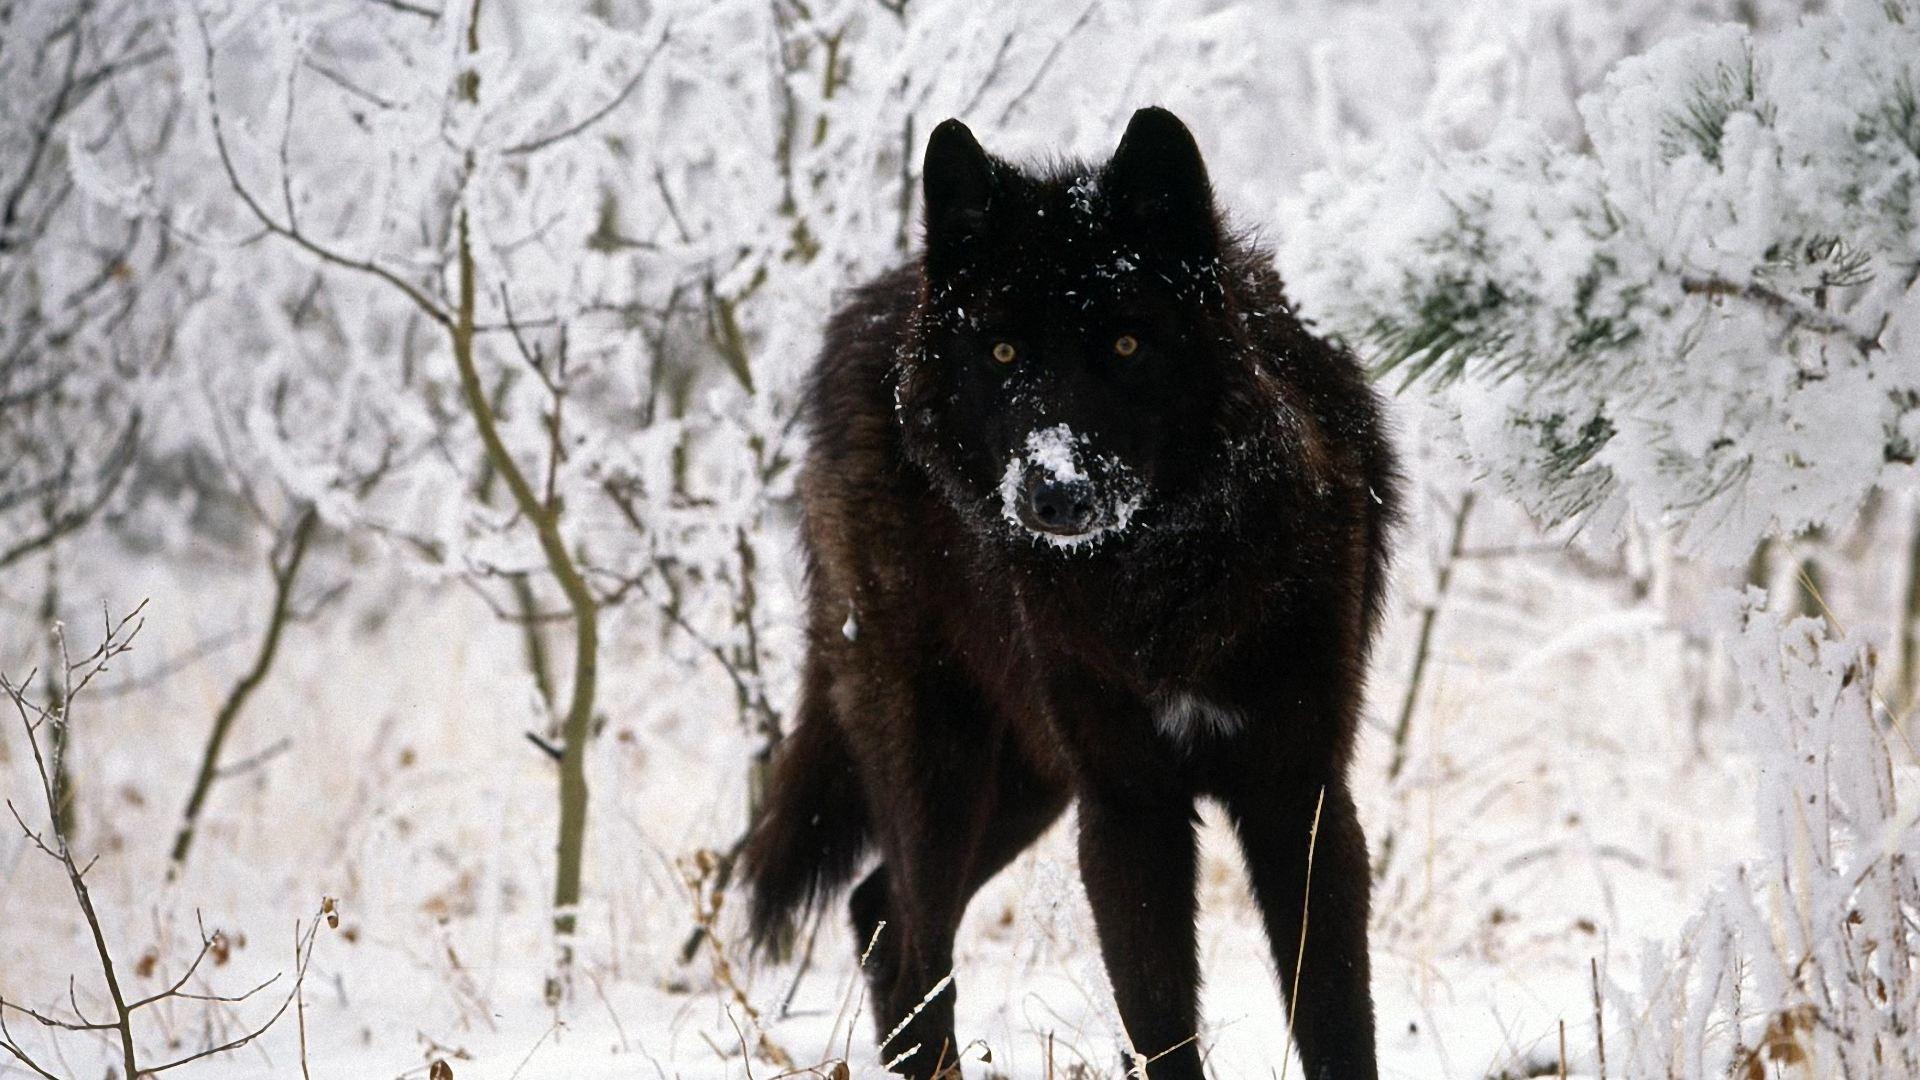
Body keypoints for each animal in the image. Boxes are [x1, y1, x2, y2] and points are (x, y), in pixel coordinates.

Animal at [740, 107, 1399, 1080]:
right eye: (1004, 349)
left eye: (1126, 344)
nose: (1054, 494)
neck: (1161, 587)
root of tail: (869, 309)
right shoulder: (1126, 808)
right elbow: (1161, 1026)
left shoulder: (1299, 796)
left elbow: (1335, 1020)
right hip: (942, 769)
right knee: (912, 942)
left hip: (1028, 782)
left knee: (877, 913)